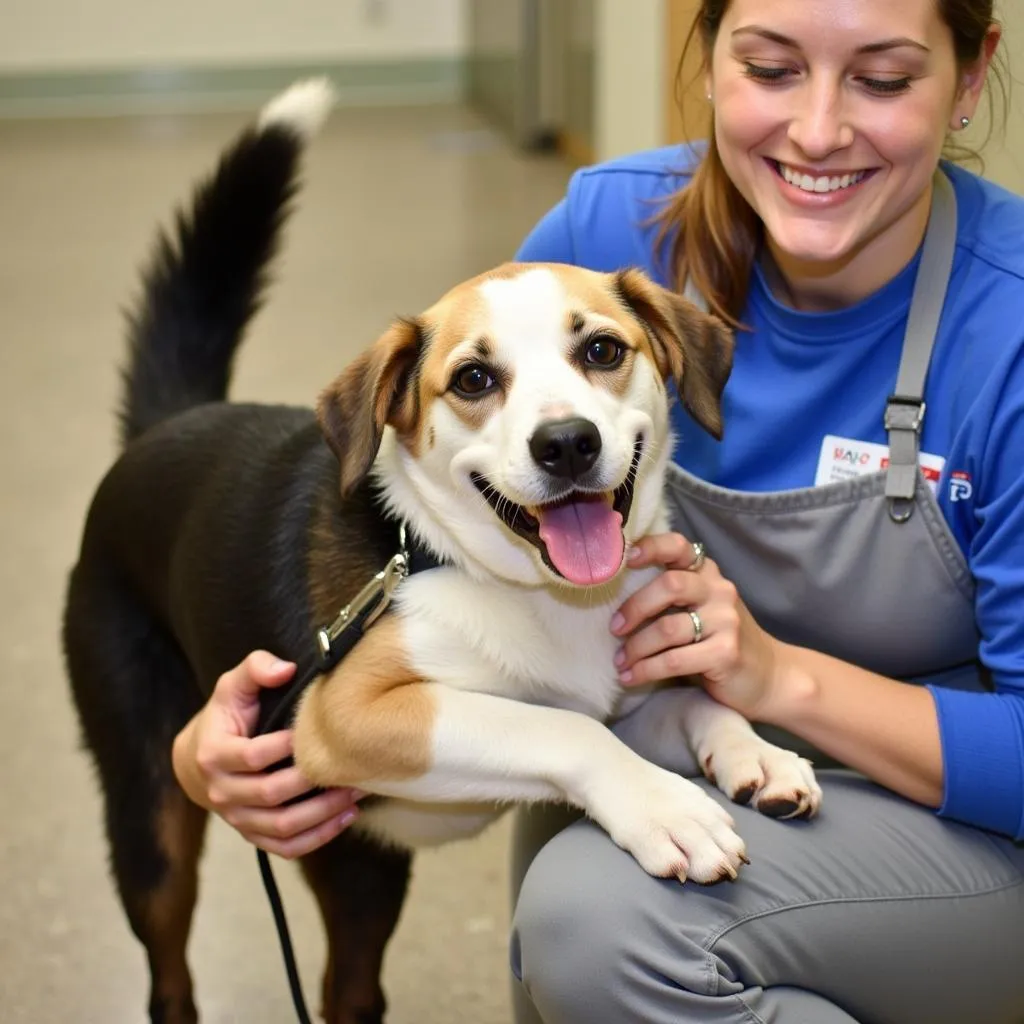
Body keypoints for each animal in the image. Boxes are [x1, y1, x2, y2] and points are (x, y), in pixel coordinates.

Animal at [61, 79, 815, 1024]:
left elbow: (687, 702)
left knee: (349, 989)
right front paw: (661, 806)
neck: (520, 586)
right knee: (169, 968)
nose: (566, 444)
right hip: (154, 823)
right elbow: (560, 726)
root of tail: (166, 427)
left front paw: (755, 752)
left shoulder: (627, 694)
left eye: (602, 349)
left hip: (361, 872)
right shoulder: (346, 713)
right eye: (473, 380)